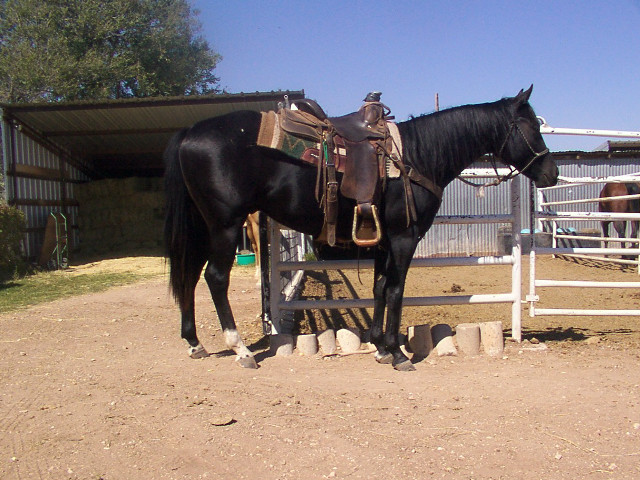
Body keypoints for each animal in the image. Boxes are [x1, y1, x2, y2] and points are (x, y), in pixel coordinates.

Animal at [164, 85, 558, 371]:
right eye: (531, 126)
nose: (551, 173)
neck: (417, 156)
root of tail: (190, 133)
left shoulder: (383, 241)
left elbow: (379, 288)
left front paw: (379, 345)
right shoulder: (403, 238)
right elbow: (396, 290)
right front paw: (397, 354)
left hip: (203, 227)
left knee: (189, 274)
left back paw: (194, 343)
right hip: (225, 226)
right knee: (215, 278)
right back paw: (241, 350)